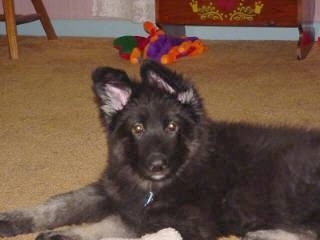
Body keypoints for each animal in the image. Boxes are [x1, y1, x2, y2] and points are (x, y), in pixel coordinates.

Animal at [0, 60, 320, 240]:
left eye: (172, 127)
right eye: (137, 129)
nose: (157, 166)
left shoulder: (184, 220)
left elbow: (117, 226)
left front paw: (63, 235)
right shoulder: (110, 190)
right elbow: (59, 204)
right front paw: (13, 220)